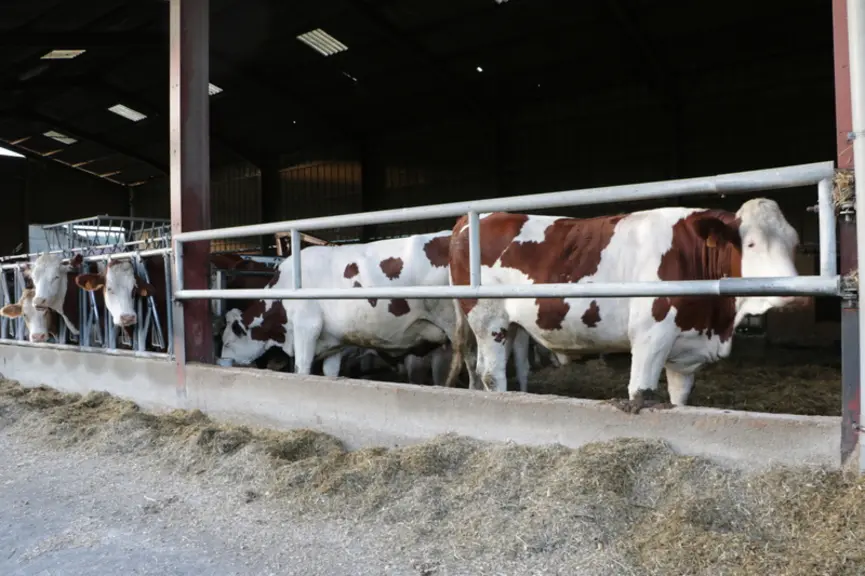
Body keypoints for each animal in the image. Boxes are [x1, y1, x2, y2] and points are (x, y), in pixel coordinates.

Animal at [445, 198, 802, 413]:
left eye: (794, 243)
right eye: (752, 244)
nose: (793, 293)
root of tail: (469, 219)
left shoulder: (685, 352)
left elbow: (679, 400)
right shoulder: (650, 337)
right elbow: (640, 393)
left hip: (512, 326)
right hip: (488, 320)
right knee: (491, 374)